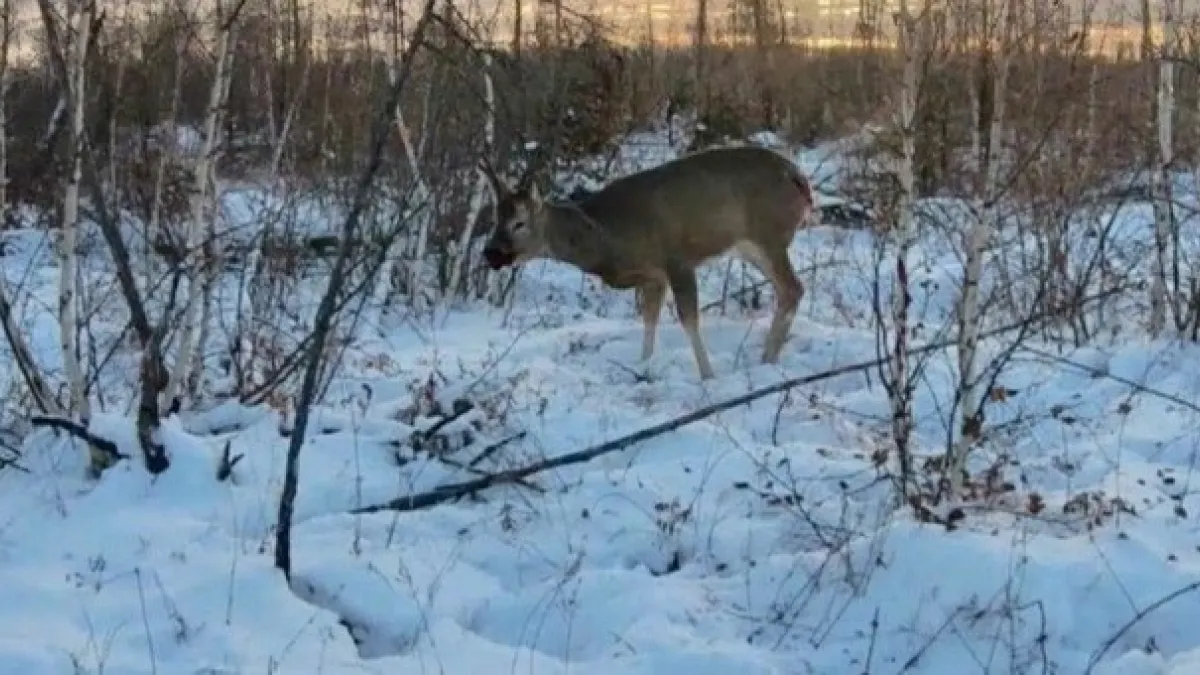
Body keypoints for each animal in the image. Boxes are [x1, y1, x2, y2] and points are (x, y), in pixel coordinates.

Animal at [477, 144, 816, 379]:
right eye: (495, 219)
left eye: (519, 223)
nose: (490, 252)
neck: (606, 237)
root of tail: (798, 177)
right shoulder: (654, 276)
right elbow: (650, 317)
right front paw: (643, 365)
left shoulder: (677, 260)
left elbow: (688, 319)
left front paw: (708, 377)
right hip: (751, 246)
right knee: (789, 289)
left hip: (768, 235)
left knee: (793, 288)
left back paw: (767, 360)